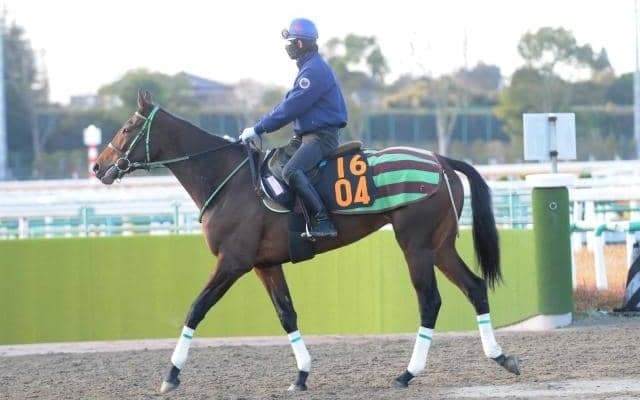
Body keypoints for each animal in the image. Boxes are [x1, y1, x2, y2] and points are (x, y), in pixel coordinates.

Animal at [93, 91, 521, 394]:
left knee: (430, 302)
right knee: (474, 287)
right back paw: (501, 357)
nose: (98, 167)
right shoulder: (265, 265)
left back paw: (407, 373)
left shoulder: (232, 262)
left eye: (128, 127)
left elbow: (196, 309)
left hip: (416, 246)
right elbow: (287, 315)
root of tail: (440, 160)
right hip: (440, 246)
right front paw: (301, 375)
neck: (229, 180)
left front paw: (171, 374)